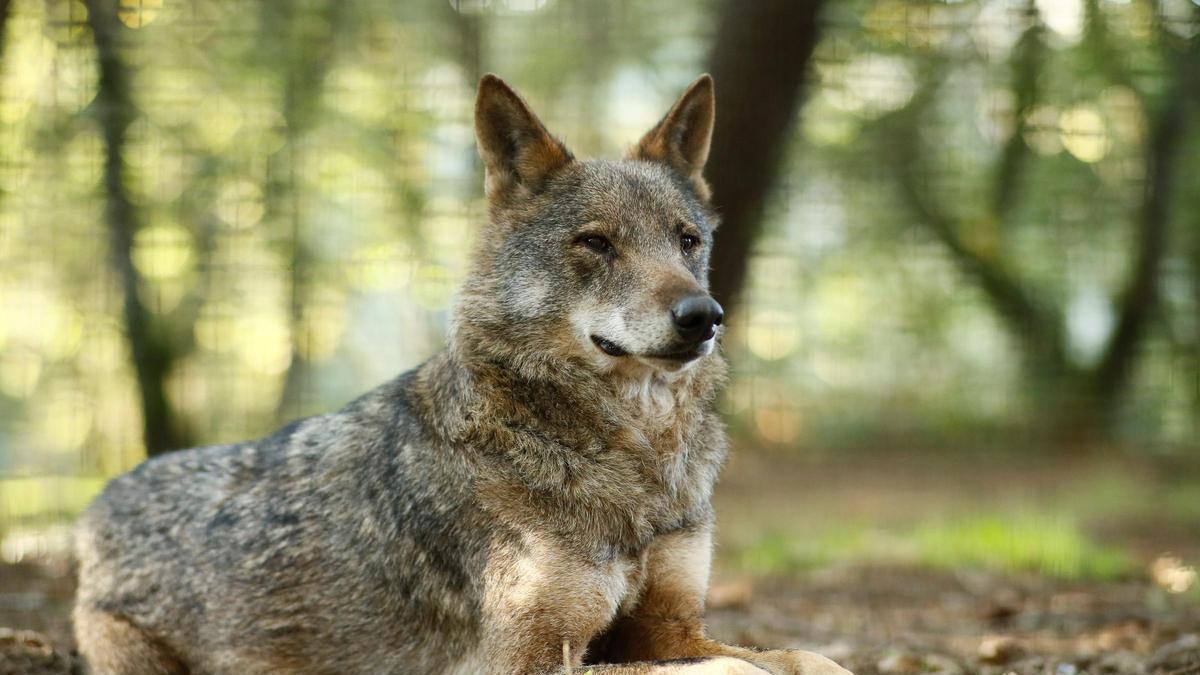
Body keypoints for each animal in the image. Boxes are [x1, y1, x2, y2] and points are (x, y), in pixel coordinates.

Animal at [72, 74, 851, 675]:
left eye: (687, 241)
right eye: (596, 243)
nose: (704, 315)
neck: (632, 458)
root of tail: (99, 503)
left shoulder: (670, 624)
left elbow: (805, 657)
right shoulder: (527, 656)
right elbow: (735, 667)